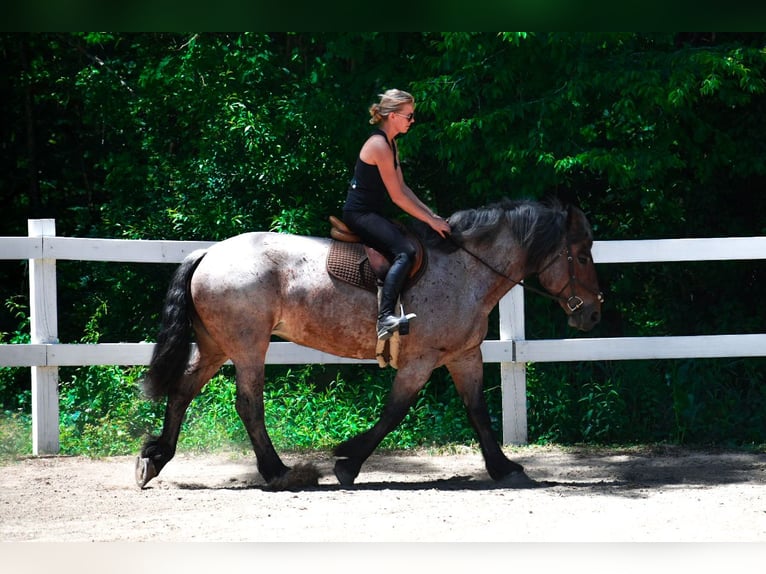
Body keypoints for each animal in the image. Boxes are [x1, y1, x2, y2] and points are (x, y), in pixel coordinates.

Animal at [136, 198, 608, 490]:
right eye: (583, 254)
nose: (593, 314)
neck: (466, 270)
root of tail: (208, 253)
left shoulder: (464, 356)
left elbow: (478, 412)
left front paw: (504, 467)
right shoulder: (421, 361)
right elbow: (394, 413)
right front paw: (348, 460)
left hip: (216, 345)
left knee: (182, 390)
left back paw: (155, 458)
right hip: (248, 346)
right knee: (248, 403)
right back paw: (280, 473)